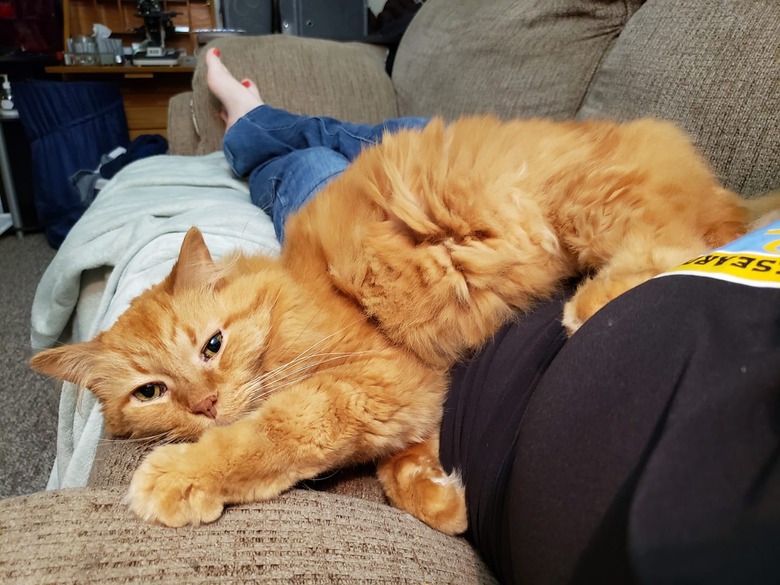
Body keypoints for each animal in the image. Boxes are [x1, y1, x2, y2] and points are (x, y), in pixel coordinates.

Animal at [29, 114, 760, 532]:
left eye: (213, 344)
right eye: (150, 392)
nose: (205, 404)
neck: (292, 292)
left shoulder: (370, 380)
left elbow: (274, 433)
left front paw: (182, 475)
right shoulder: (415, 398)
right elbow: (400, 471)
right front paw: (447, 503)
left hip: (589, 206)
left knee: (673, 242)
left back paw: (591, 301)